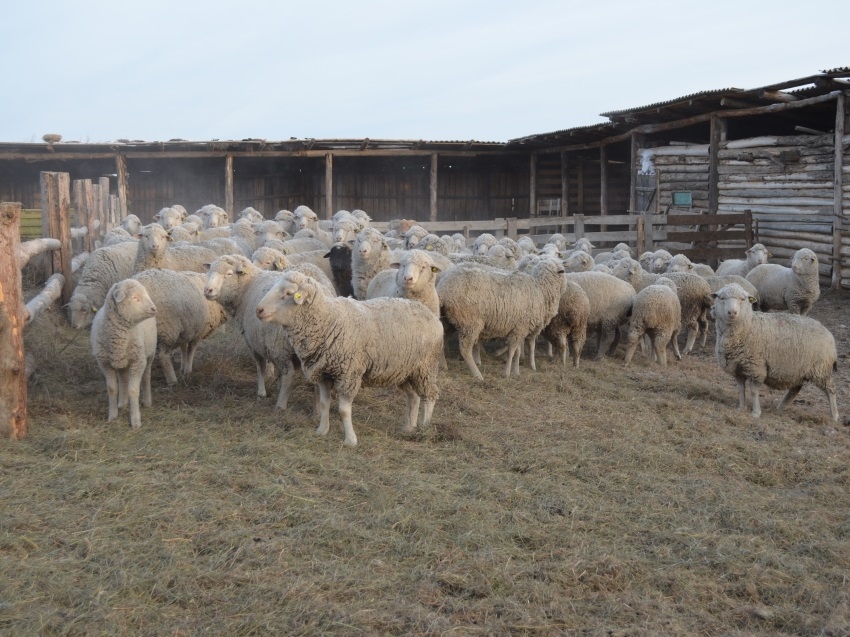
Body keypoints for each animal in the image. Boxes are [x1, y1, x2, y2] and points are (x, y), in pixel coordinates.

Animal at [91, 278, 159, 428]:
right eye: (134, 297)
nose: (154, 309)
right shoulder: (104, 363)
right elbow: (112, 389)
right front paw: (112, 416)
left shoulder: (138, 361)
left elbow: (133, 390)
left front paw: (135, 420)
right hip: (121, 361)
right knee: (123, 379)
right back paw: (122, 403)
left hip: (149, 355)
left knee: (146, 376)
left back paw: (147, 401)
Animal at [253, 270, 444, 444]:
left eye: (288, 293)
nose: (259, 310)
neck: (328, 322)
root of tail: (431, 315)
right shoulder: (323, 374)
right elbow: (324, 404)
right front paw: (322, 431)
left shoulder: (348, 374)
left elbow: (344, 410)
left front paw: (350, 440)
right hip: (404, 370)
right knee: (413, 396)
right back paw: (409, 427)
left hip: (426, 367)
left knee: (430, 395)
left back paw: (424, 427)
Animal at [708, 284, 836, 422]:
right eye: (721, 298)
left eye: (743, 299)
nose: (732, 312)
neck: (748, 327)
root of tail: (828, 333)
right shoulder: (737, 368)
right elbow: (741, 389)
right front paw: (741, 408)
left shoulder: (756, 368)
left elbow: (754, 391)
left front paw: (755, 412)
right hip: (798, 370)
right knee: (795, 389)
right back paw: (780, 408)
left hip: (821, 369)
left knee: (831, 390)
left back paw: (834, 416)